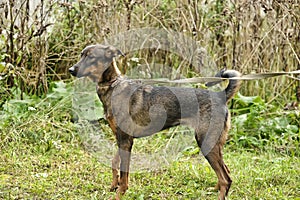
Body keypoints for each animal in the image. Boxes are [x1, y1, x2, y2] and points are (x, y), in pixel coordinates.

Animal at [68, 44, 241, 200]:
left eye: (91, 57)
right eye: (81, 55)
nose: (71, 70)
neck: (113, 85)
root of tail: (220, 96)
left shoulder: (125, 140)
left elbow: (124, 175)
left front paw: (119, 194)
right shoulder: (121, 138)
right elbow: (115, 162)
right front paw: (113, 185)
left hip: (206, 141)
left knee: (226, 178)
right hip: (214, 143)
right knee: (225, 172)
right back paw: (215, 189)